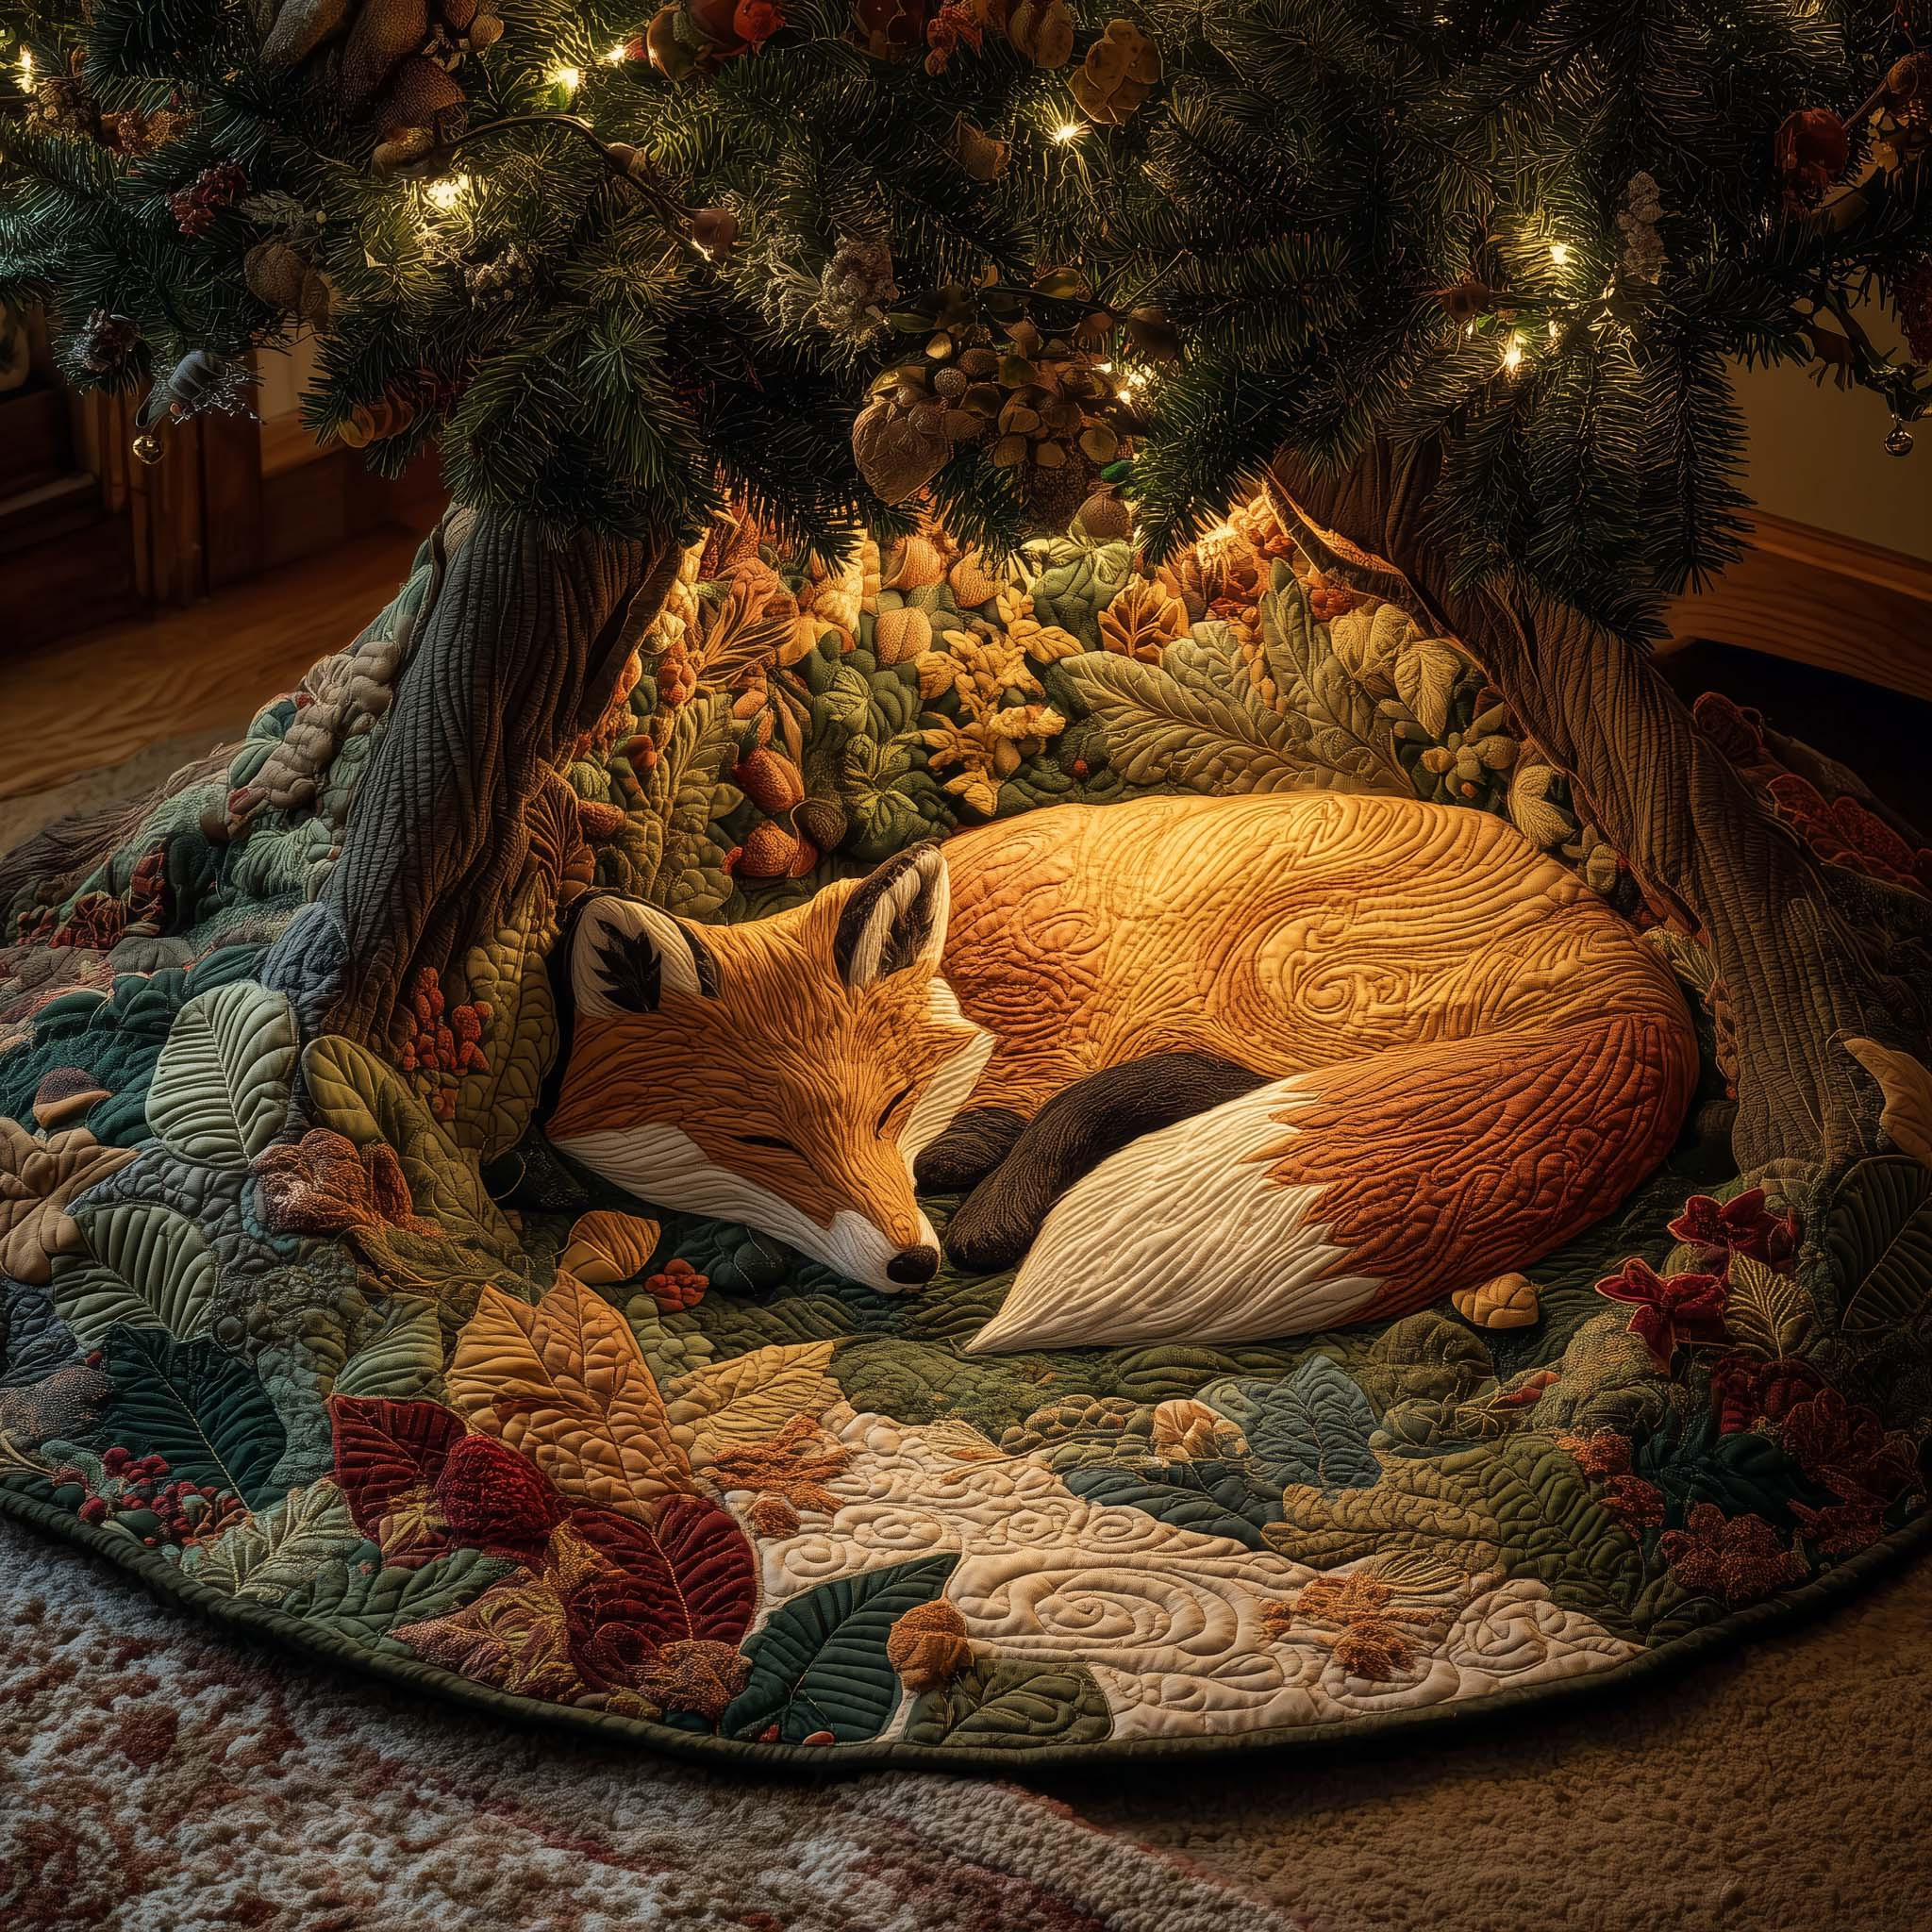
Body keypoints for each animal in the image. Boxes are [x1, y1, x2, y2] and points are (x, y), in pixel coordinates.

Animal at [543, 791, 1699, 1354]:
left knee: (1210, 1082)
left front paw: (981, 1179)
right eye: (760, 1141)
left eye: (890, 1104)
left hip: (1280, 983)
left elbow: (1057, 1103)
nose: (913, 1264)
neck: (980, 981)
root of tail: (1644, 985)